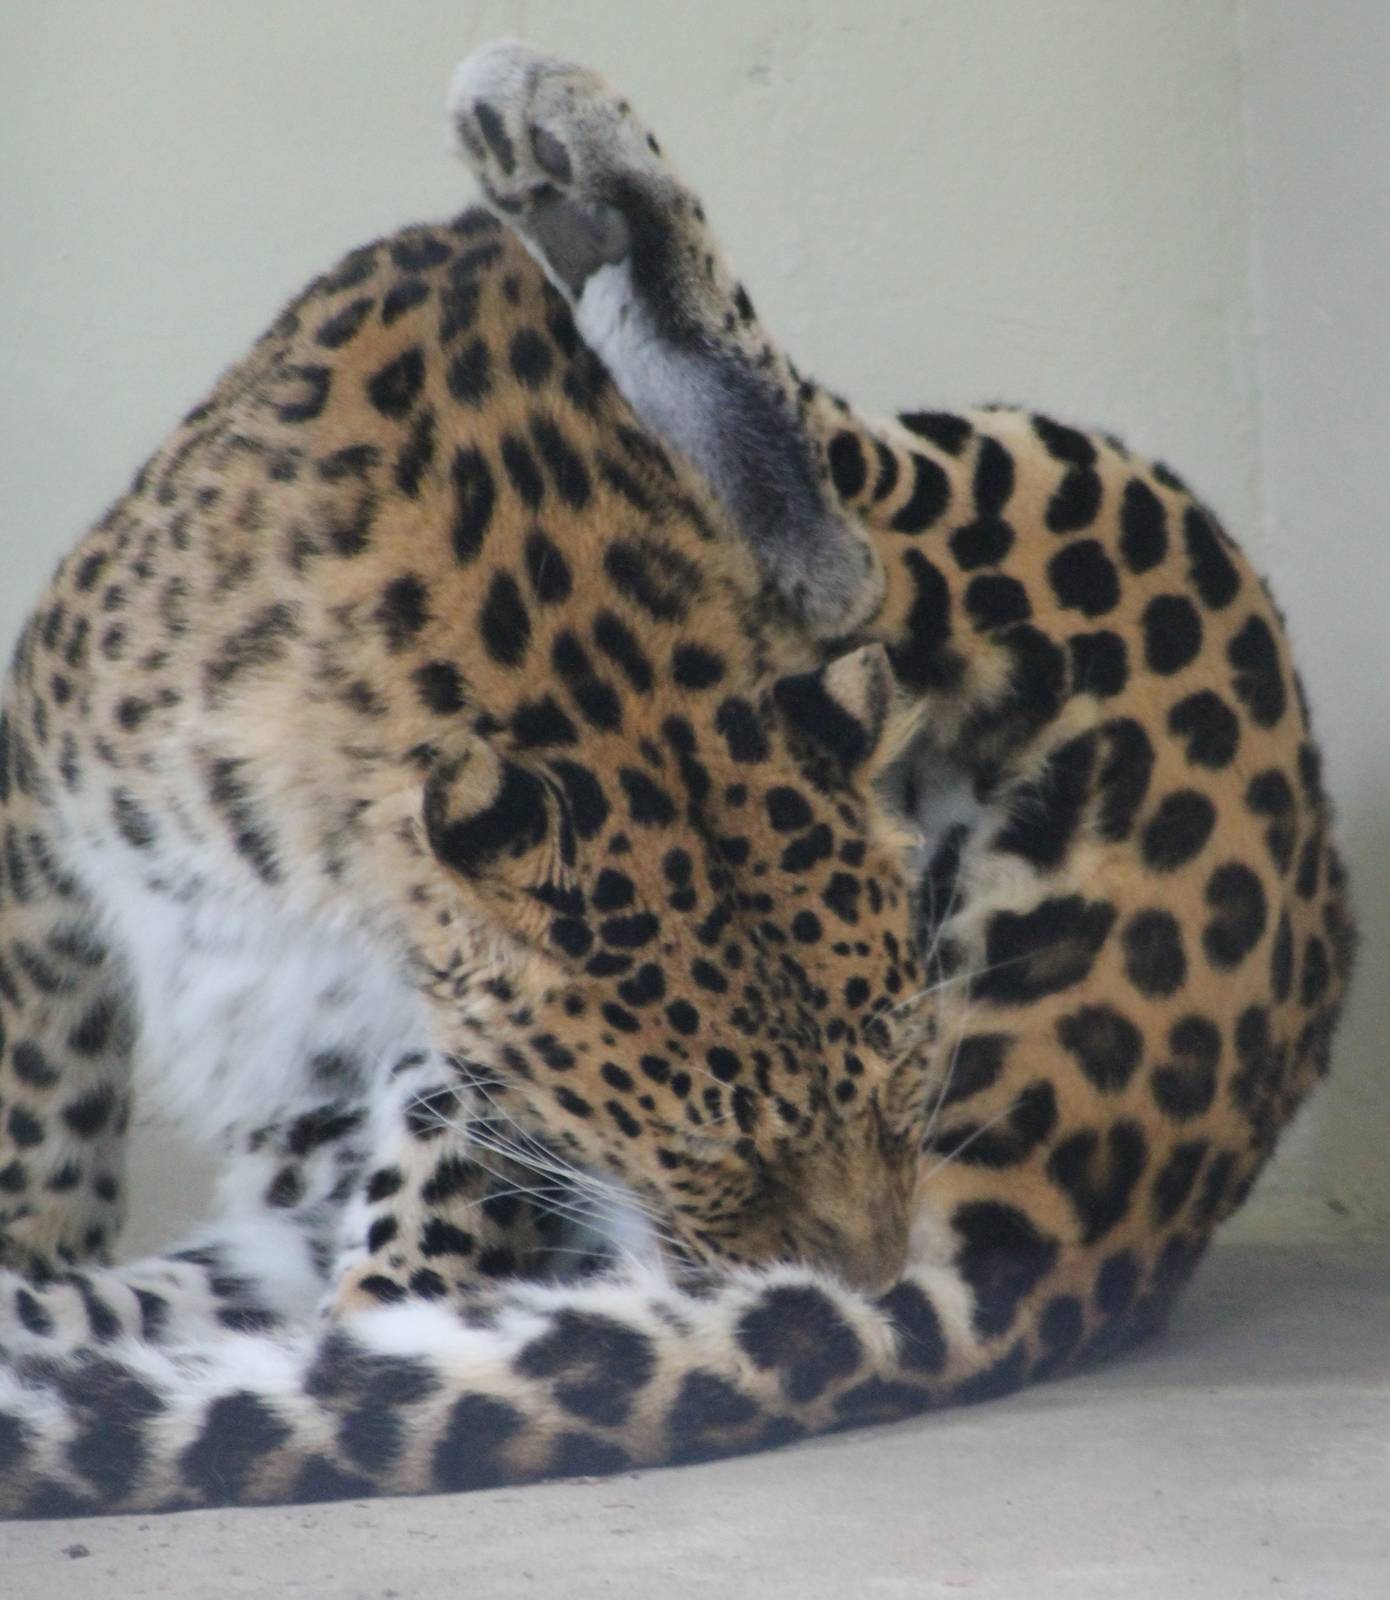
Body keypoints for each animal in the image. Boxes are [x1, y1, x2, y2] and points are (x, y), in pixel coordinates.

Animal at [0, 41, 1353, 1517]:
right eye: (711, 1152)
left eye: (902, 1081)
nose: (856, 1280)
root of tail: (1112, 1217)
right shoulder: (37, 812)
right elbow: (40, 1093)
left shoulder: (457, 1025)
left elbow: (442, 1168)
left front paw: (370, 1335)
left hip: (1122, 518)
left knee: (845, 522)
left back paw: (568, 178)